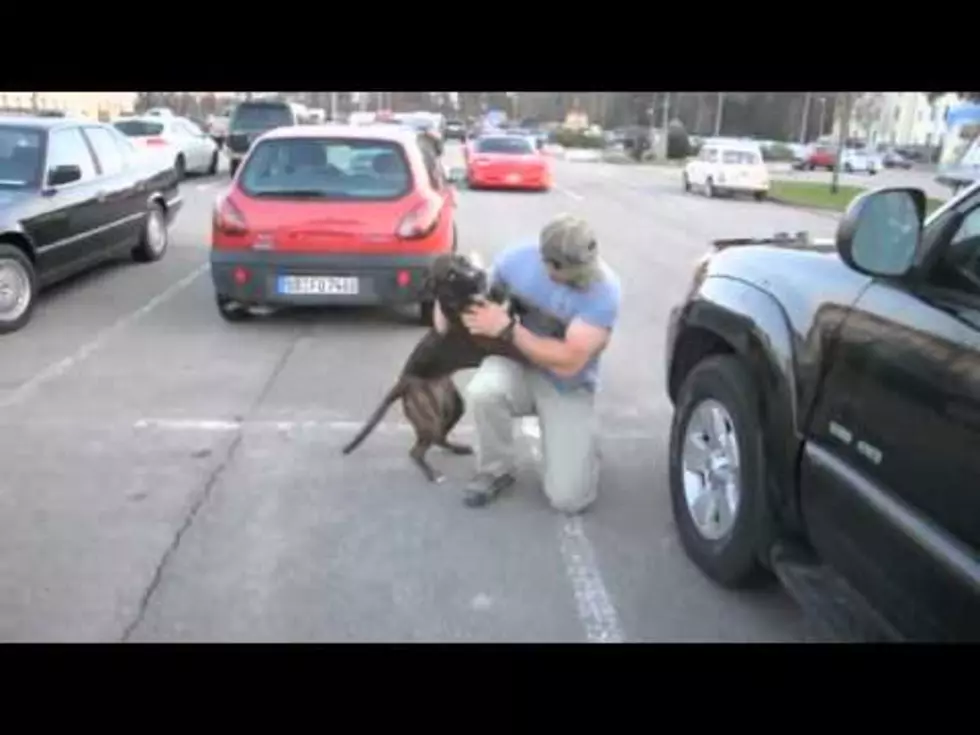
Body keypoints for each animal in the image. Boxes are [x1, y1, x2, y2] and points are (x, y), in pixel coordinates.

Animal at [344, 253, 528, 484]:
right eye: (450, 275)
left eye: (464, 260)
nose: (478, 274)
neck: (466, 300)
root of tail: (403, 380)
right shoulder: (498, 344)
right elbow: (520, 347)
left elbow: (510, 303)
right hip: (428, 418)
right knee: (416, 451)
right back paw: (432, 473)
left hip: (455, 406)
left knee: (440, 437)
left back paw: (457, 448)